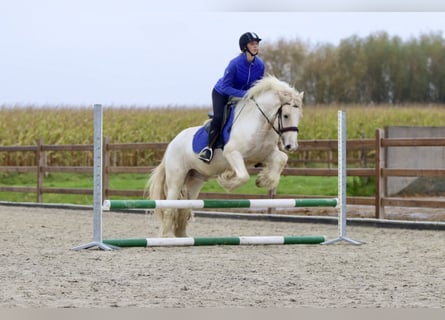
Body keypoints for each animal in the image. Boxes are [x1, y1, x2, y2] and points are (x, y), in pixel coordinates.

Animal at [147, 74, 304, 235]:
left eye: (299, 116)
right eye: (285, 115)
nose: (291, 146)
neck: (260, 124)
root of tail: (172, 143)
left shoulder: (265, 154)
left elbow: (282, 159)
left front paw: (263, 180)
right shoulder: (232, 153)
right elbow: (243, 176)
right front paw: (227, 180)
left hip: (195, 180)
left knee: (184, 210)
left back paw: (182, 237)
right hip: (176, 179)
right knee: (169, 209)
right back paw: (165, 236)